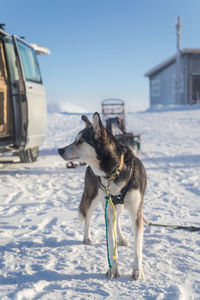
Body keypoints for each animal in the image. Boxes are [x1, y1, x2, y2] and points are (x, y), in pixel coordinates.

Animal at [57, 112, 146, 278]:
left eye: (80, 141)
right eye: (75, 139)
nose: (60, 150)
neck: (115, 171)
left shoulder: (136, 213)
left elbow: (137, 247)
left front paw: (137, 271)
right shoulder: (108, 210)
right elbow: (110, 242)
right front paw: (113, 269)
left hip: (117, 206)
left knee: (117, 221)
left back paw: (122, 238)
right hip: (92, 198)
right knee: (88, 219)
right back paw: (87, 237)